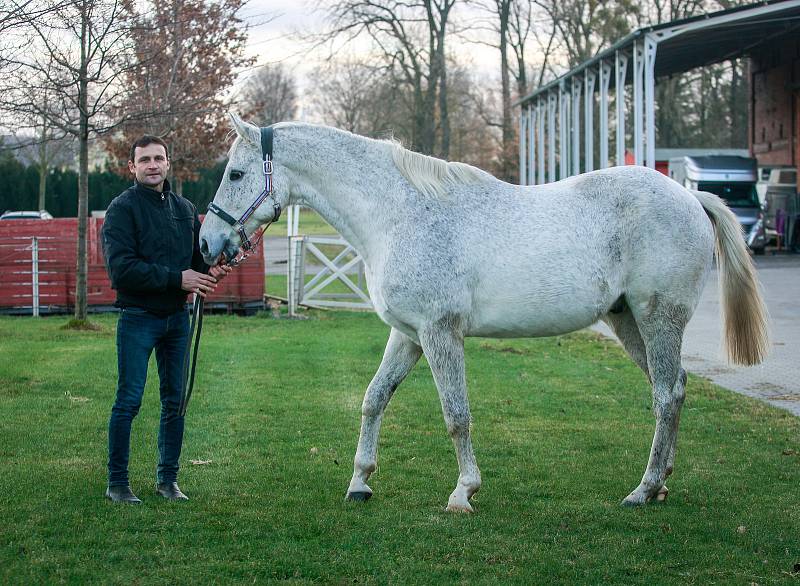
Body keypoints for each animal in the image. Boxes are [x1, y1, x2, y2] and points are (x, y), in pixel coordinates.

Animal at [200, 113, 768, 506]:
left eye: (236, 173)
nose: (206, 244)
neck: (400, 214)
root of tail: (691, 198)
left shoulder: (439, 334)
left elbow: (456, 416)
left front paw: (464, 492)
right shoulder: (407, 335)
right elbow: (373, 399)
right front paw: (360, 482)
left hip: (658, 319)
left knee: (667, 395)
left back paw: (642, 491)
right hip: (629, 320)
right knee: (672, 391)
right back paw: (662, 484)